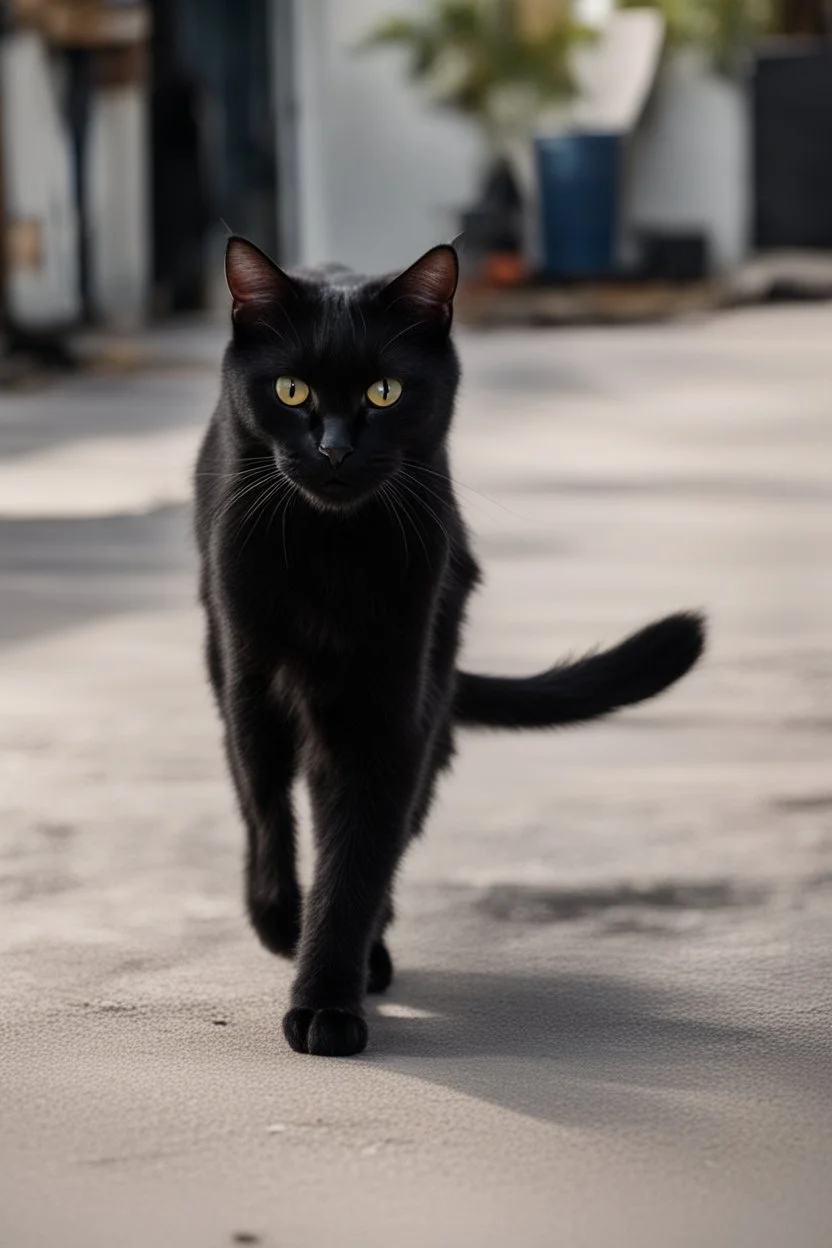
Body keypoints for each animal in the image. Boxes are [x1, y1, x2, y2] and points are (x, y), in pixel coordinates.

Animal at [197, 235, 708, 1053]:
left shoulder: (389, 707)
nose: (335, 450)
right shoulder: (253, 680)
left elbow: (359, 853)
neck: (332, 552)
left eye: (384, 393)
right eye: (290, 390)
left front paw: (328, 1000)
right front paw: (281, 923)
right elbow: (268, 811)